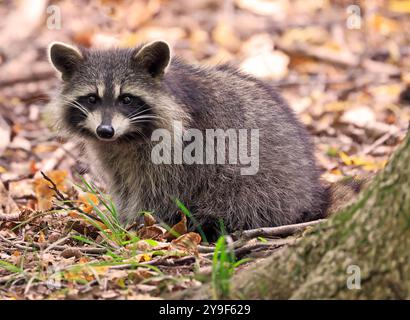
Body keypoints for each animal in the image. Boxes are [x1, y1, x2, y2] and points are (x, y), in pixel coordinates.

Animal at [47, 40, 330, 238]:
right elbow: (123, 185)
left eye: (126, 99)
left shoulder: (177, 152)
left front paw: (139, 224)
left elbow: (160, 193)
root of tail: (310, 194)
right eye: (91, 99)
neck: (127, 137)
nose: (105, 131)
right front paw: (124, 218)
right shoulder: (113, 153)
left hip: (263, 188)